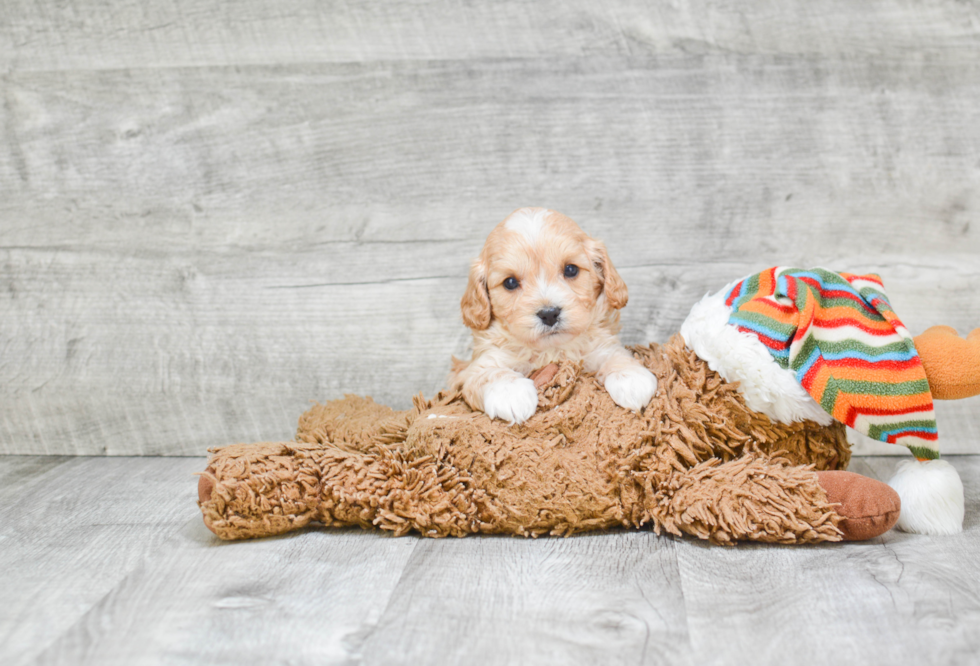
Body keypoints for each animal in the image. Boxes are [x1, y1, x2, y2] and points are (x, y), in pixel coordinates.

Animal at [452, 208, 660, 422]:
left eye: (571, 269)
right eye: (510, 282)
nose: (549, 314)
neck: (551, 349)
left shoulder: (599, 346)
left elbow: (616, 355)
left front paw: (631, 378)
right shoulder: (474, 367)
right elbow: (490, 373)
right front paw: (510, 394)